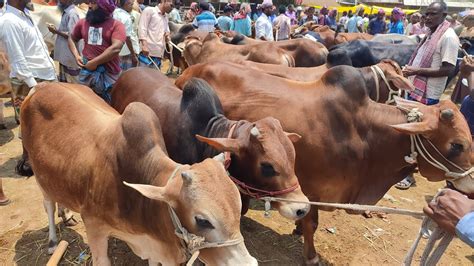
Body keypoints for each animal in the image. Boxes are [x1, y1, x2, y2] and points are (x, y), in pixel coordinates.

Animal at [21, 83, 258, 266]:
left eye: (238, 208)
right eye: (202, 220)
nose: (248, 263)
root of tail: (39, 87)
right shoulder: (94, 227)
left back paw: (67, 214)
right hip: (38, 171)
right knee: (48, 204)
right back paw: (53, 241)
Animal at [177, 62, 474, 264]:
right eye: (457, 145)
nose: (471, 184)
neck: (362, 133)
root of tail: (188, 71)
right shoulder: (311, 187)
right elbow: (312, 223)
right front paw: (311, 255)